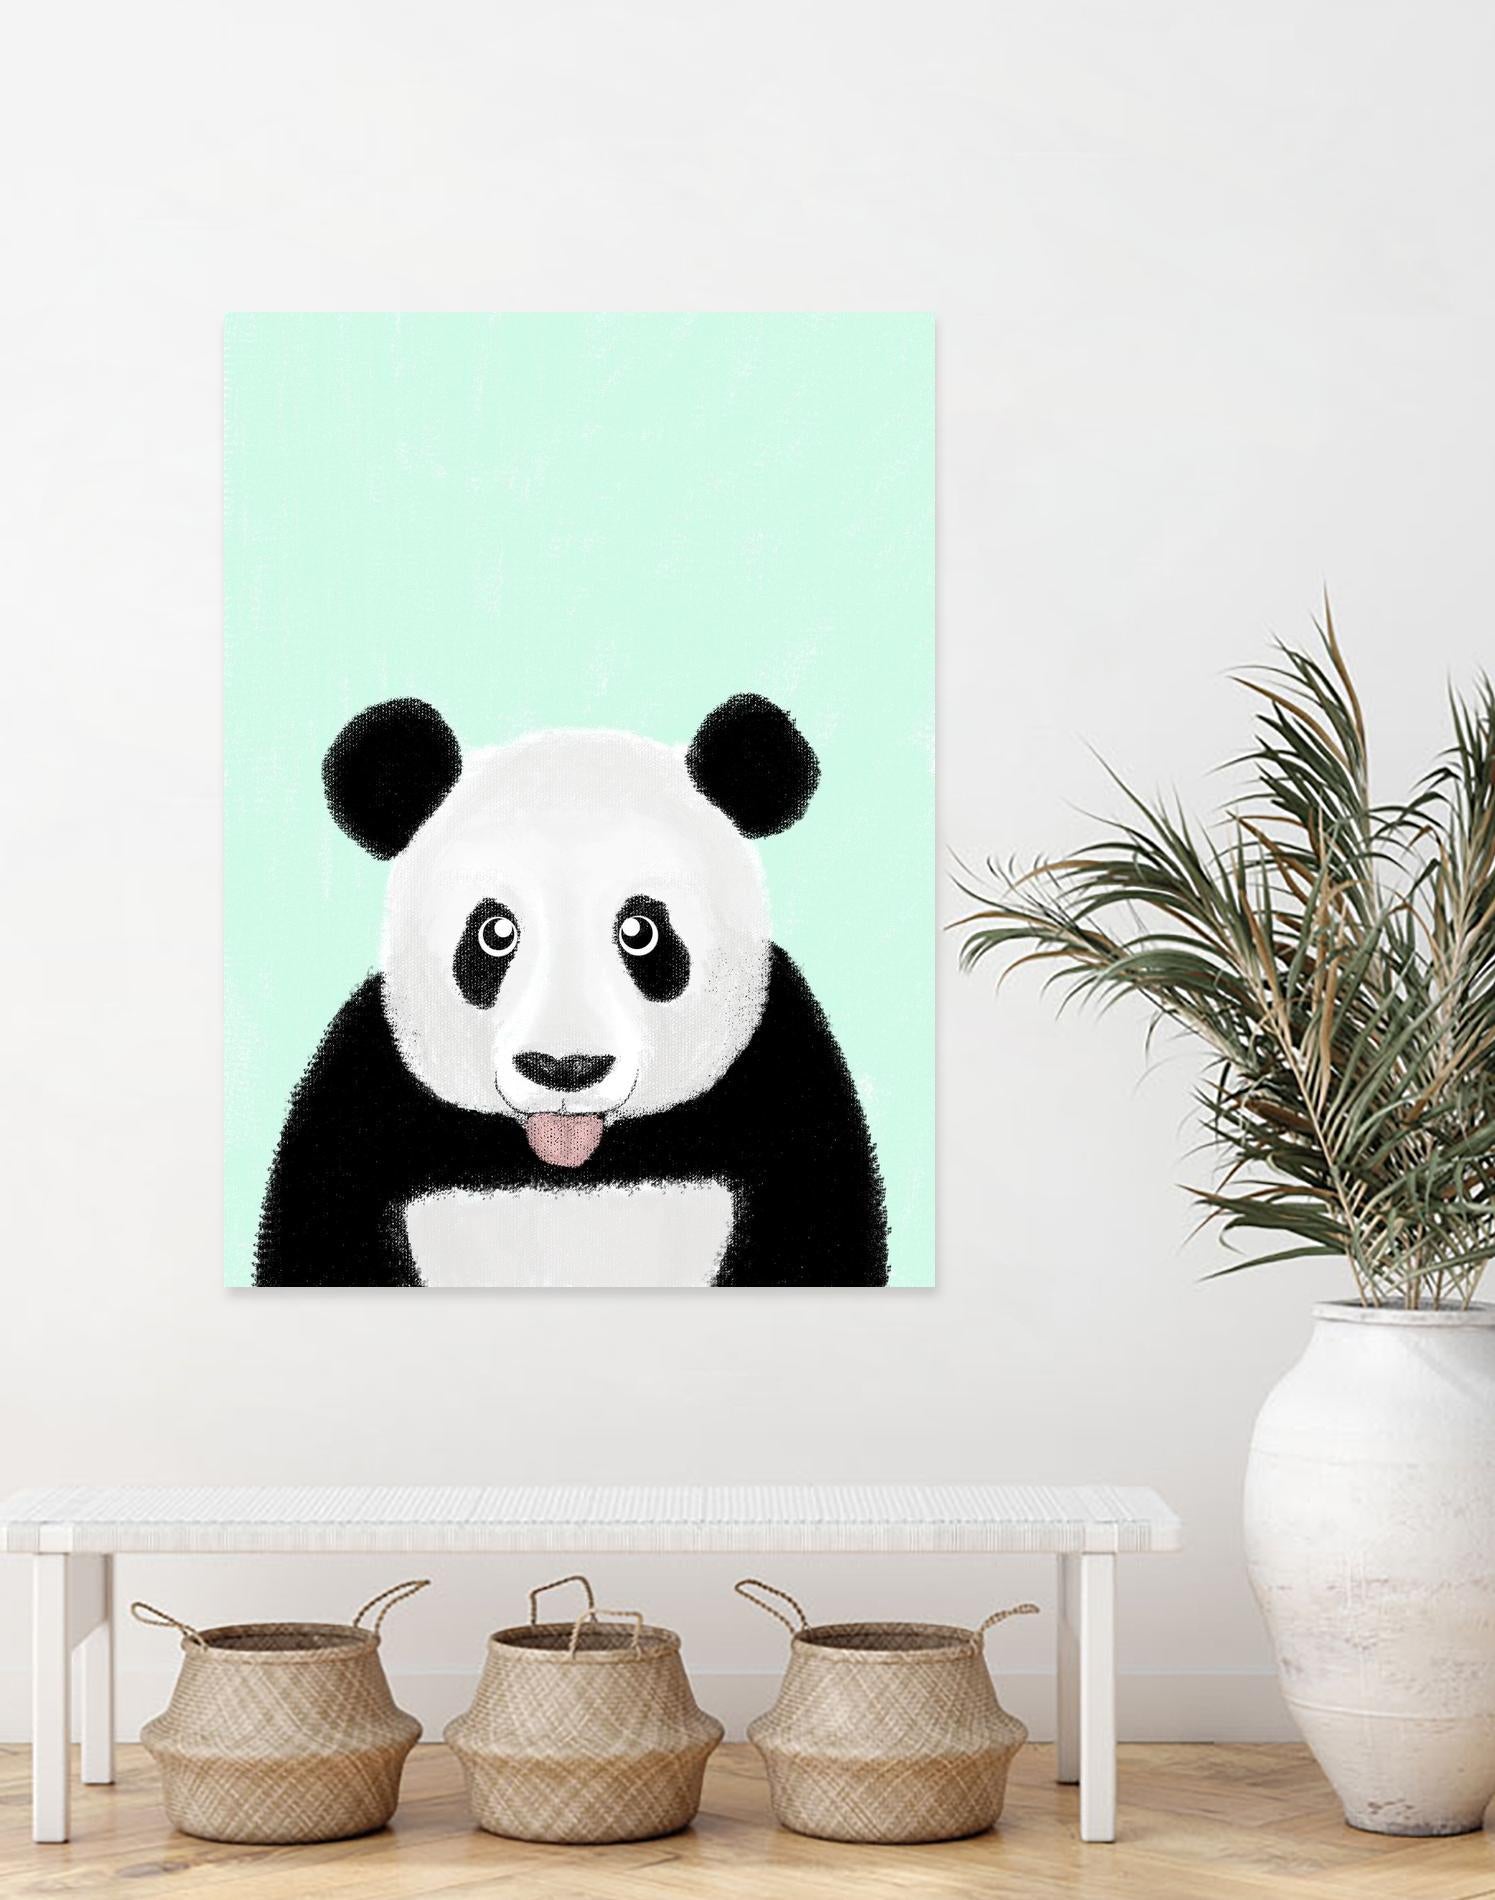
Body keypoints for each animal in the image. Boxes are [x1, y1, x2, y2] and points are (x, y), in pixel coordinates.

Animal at [254, 693, 889, 1288]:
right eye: (494, 933)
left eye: (641, 931)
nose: (565, 1069)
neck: (573, 1161)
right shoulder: (363, 1106)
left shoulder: (785, 1085)